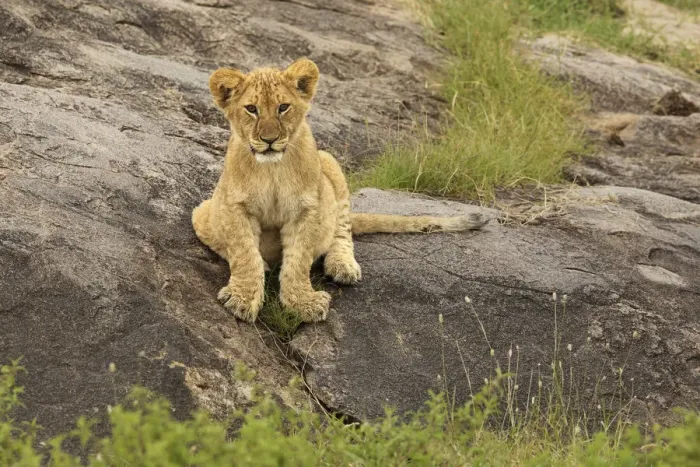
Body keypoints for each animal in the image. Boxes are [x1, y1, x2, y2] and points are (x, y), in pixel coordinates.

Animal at [192, 58, 486, 323]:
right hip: (203, 212)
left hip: (331, 165)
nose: (269, 139)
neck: (272, 169)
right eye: (251, 109)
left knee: (342, 230)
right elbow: (244, 253)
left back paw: (342, 265)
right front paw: (242, 298)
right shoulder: (233, 206)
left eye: (283, 107)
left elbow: (298, 260)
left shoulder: (308, 208)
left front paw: (302, 303)